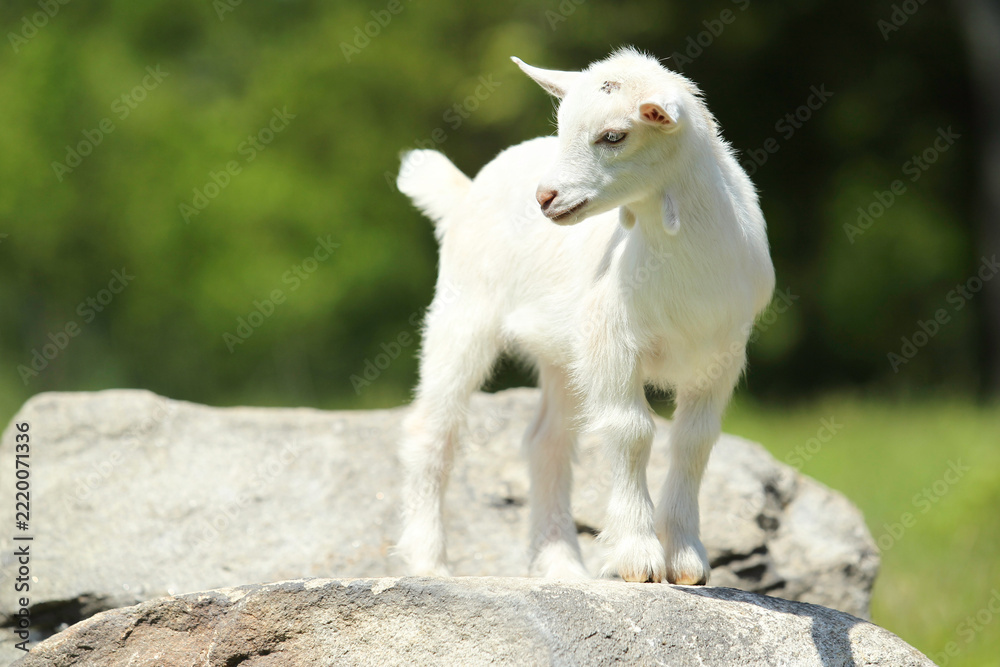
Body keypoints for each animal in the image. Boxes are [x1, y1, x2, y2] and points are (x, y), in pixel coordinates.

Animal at [395, 48, 775, 584]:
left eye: (613, 136)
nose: (545, 198)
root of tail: (464, 193)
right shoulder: (611, 339)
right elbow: (631, 431)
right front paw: (638, 557)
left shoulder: (720, 354)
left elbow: (694, 442)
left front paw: (687, 560)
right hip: (462, 312)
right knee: (432, 432)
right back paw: (430, 563)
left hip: (562, 355)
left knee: (546, 442)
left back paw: (561, 566)